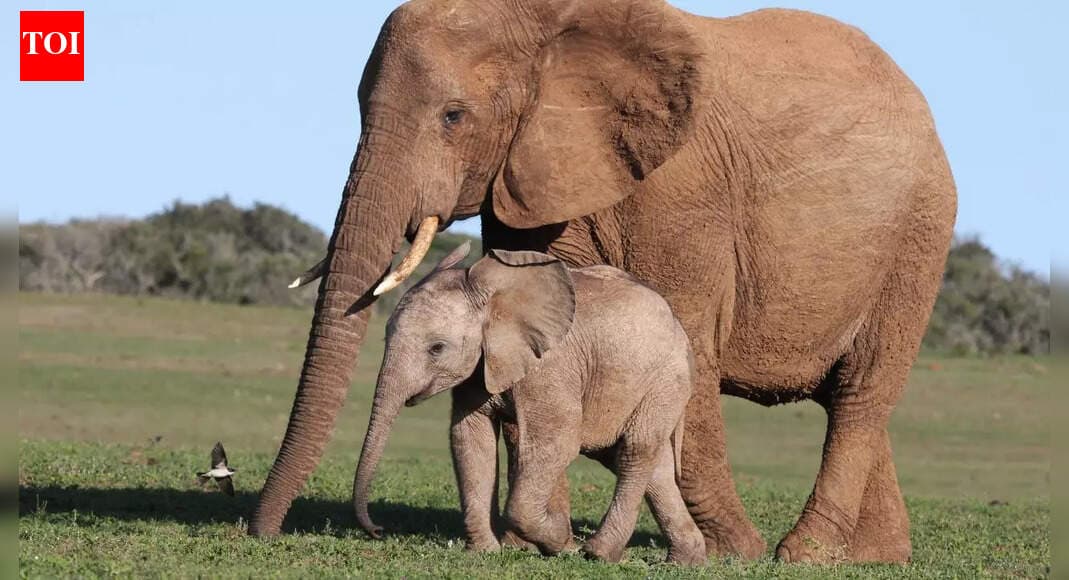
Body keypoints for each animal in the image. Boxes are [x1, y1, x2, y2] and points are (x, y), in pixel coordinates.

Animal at [351, 243, 706, 564]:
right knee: (650, 464)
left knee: (635, 450)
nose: (378, 530)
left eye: (437, 348)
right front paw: (485, 553)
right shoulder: (481, 365)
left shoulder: (550, 366)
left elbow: (558, 441)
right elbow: (471, 438)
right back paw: (684, 562)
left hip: (666, 381)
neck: (493, 298)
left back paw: (598, 554)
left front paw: (562, 544)